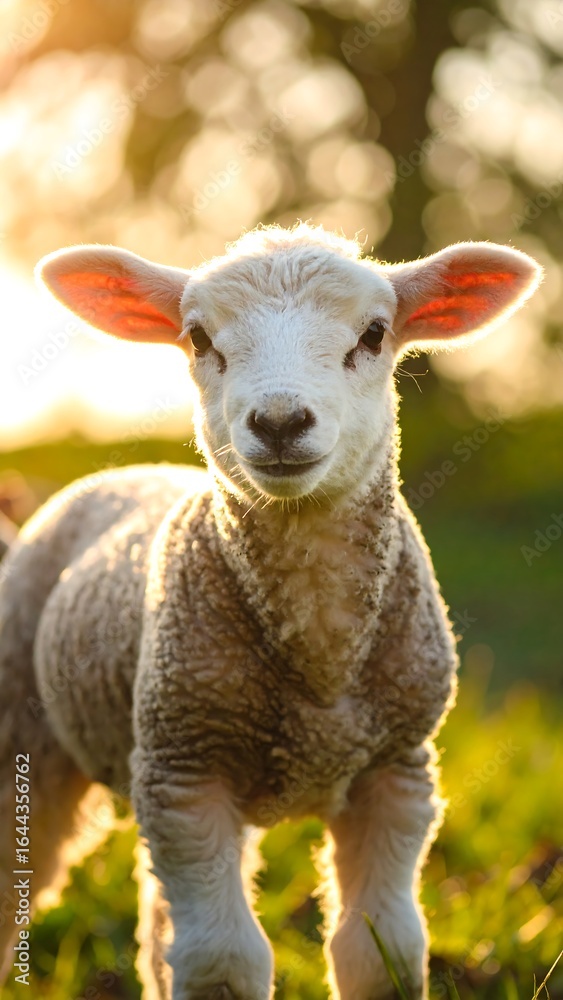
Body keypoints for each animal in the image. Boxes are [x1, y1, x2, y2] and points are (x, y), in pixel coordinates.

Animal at [0, 224, 541, 1000]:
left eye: (374, 334)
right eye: (198, 338)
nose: (281, 421)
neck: (320, 669)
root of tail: (122, 472)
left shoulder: (397, 770)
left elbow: (381, 950)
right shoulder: (187, 771)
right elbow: (225, 962)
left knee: (160, 927)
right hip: (33, 730)